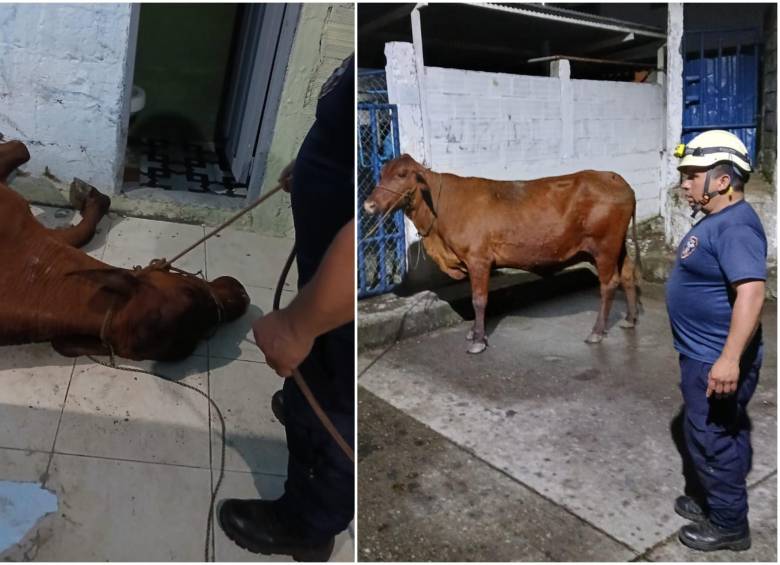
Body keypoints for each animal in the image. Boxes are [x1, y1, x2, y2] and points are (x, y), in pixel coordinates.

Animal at [364, 154, 640, 352]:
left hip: (604, 247)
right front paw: (474, 333)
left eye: (402, 174)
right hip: (618, 247)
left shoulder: (478, 259)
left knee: (608, 284)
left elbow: (479, 300)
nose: (368, 204)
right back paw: (630, 318)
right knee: (628, 275)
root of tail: (614, 178)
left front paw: (478, 340)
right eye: (382, 172)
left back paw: (597, 332)